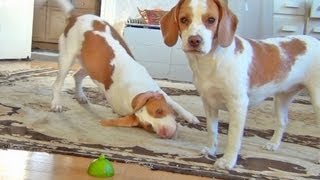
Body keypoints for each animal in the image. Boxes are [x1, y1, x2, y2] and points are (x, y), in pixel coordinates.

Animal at [51, 0, 199, 139]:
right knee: (57, 84)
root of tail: (75, 16)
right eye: (148, 126)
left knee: (76, 76)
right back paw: (56, 103)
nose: (164, 133)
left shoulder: (157, 90)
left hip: (90, 66)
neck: (135, 94)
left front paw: (190, 117)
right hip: (67, 58)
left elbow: (175, 104)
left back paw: (80, 96)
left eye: (159, 111)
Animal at [160, 0, 320, 169]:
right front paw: (211, 150)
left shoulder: (238, 105)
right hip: (282, 98)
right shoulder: (209, 103)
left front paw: (228, 161)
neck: (212, 62)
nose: (194, 40)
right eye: (184, 19)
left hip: (317, 101)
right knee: (283, 122)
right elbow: (212, 130)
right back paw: (274, 145)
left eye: (211, 20)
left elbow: (233, 137)